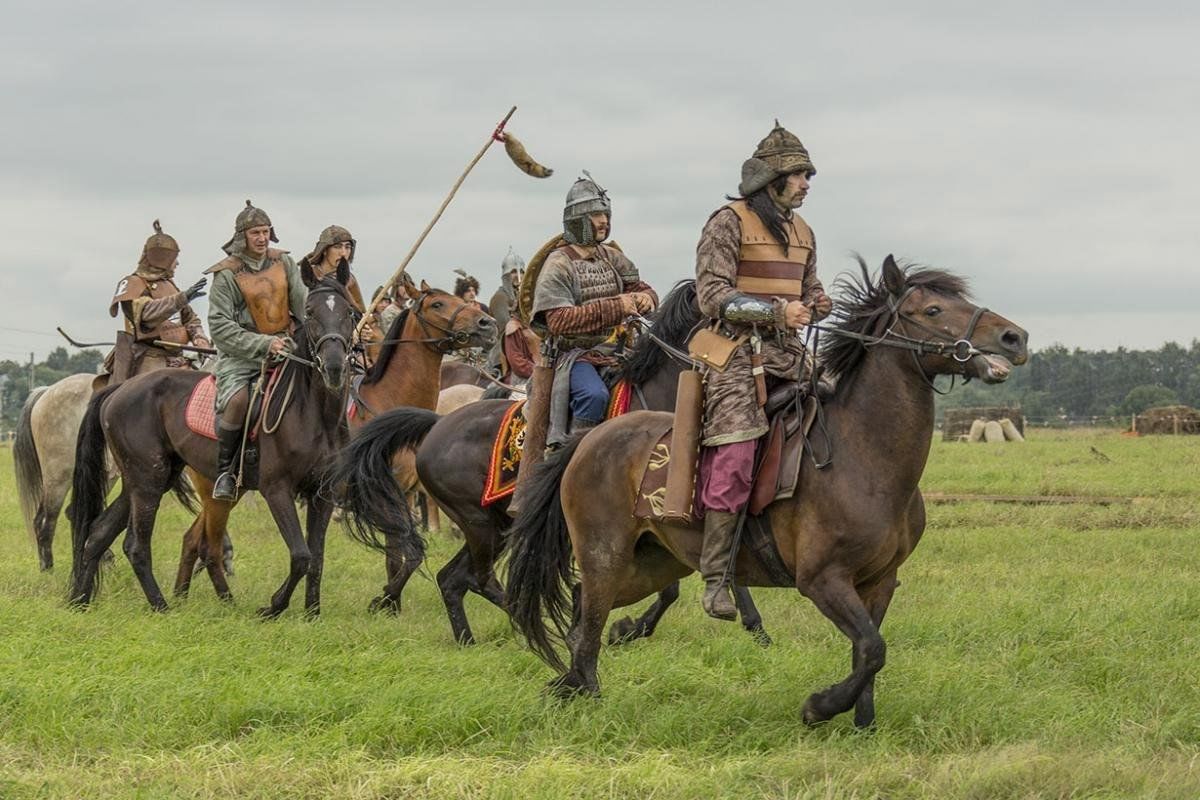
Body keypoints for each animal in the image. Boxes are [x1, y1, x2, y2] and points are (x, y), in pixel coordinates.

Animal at [65, 263, 379, 618]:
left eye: (349, 312)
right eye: (310, 311)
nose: (335, 366)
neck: (314, 414)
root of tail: (119, 389)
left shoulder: (322, 494)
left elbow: (317, 558)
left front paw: (312, 612)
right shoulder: (277, 489)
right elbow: (301, 556)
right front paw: (273, 607)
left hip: (145, 479)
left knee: (98, 534)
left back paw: (79, 600)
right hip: (148, 481)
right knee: (136, 544)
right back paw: (160, 605)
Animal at [333, 280, 772, 642]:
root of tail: (437, 423)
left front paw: (753, 624)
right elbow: (672, 586)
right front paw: (628, 628)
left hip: (497, 523)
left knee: (454, 579)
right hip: (479, 523)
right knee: (474, 577)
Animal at [501, 257, 1027, 734]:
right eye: (934, 310)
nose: (1014, 338)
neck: (863, 455)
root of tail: (589, 439)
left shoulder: (880, 581)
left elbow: (870, 652)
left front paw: (863, 723)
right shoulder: (822, 580)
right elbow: (873, 649)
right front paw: (820, 707)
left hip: (652, 563)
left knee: (587, 604)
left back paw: (574, 677)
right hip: (605, 553)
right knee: (589, 616)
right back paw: (588, 692)